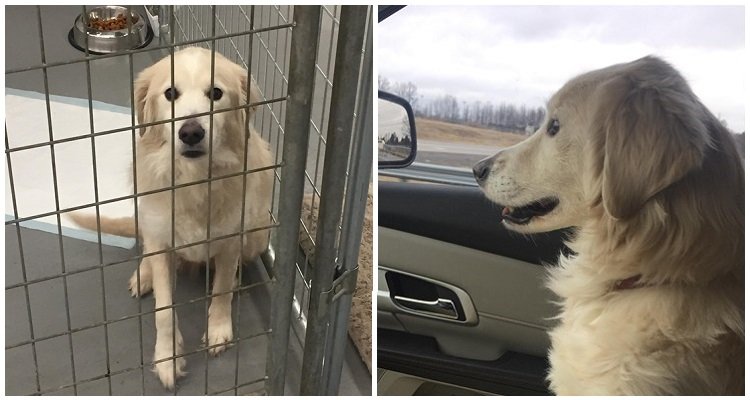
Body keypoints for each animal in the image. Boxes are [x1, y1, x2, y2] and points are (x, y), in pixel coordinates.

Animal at [70, 47, 274, 388]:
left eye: (216, 93)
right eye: (170, 94)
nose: (190, 132)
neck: (193, 180)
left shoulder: (231, 239)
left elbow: (220, 289)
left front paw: (219, 328)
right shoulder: (161, 239)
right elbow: (164, 311)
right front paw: (168, 358)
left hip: (259, 233)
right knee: (148, 252)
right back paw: (144, 275)